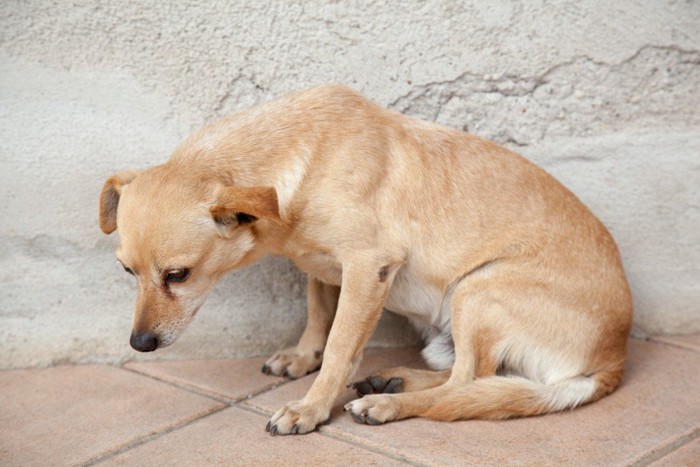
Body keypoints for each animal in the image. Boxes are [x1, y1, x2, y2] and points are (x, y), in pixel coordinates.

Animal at [100, 84, 636, 436]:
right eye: (126, 271)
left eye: (178, 274)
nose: (140, 343)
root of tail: (613, 360)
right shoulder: (321, 267)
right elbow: (318, 316)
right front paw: (302, 358)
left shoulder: (368, 265)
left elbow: (341, 346)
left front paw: (311, 409)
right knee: (473, 377)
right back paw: (395, 379)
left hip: (477, 290)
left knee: (467, 384)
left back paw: (388, 403)